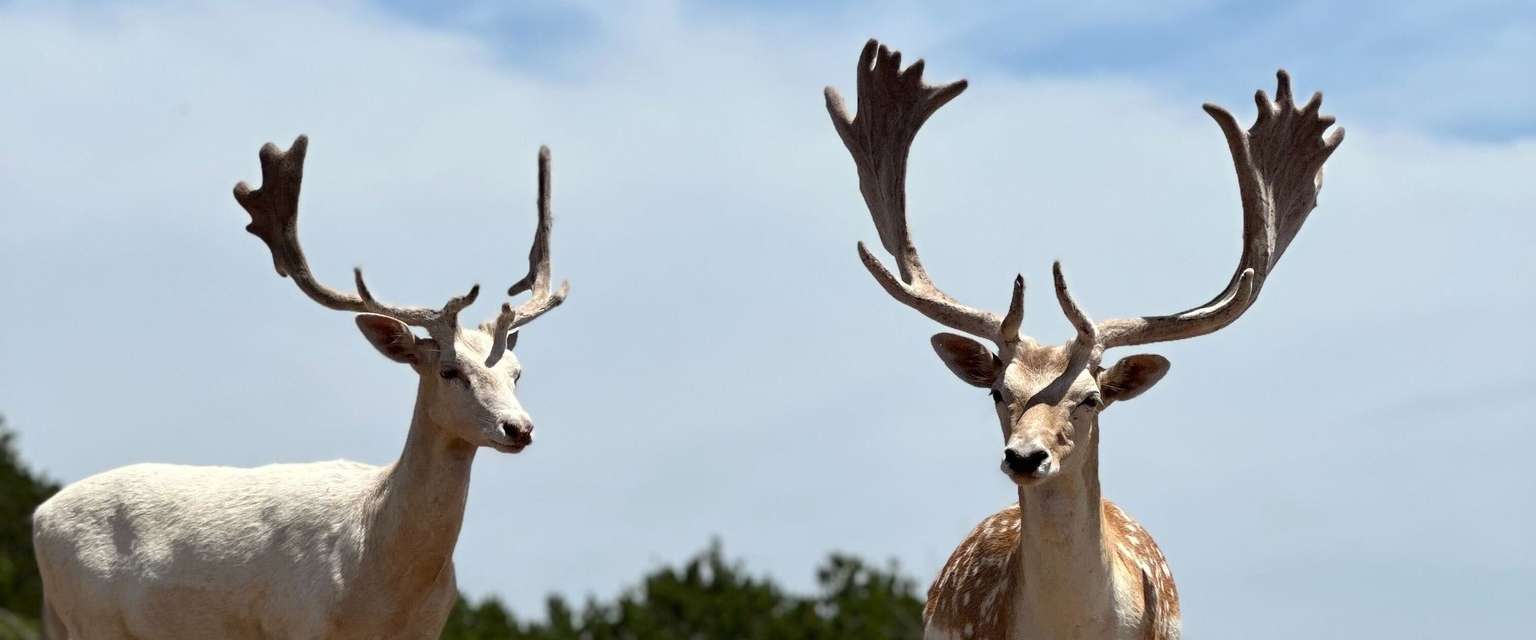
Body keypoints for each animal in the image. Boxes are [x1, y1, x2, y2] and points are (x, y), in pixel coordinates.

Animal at [28, 137, 571, 635]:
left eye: (516, 371)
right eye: (449, 371)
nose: (518, 428)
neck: (381, 591)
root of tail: (39, 517)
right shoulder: (297, 620)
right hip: (91, 617)